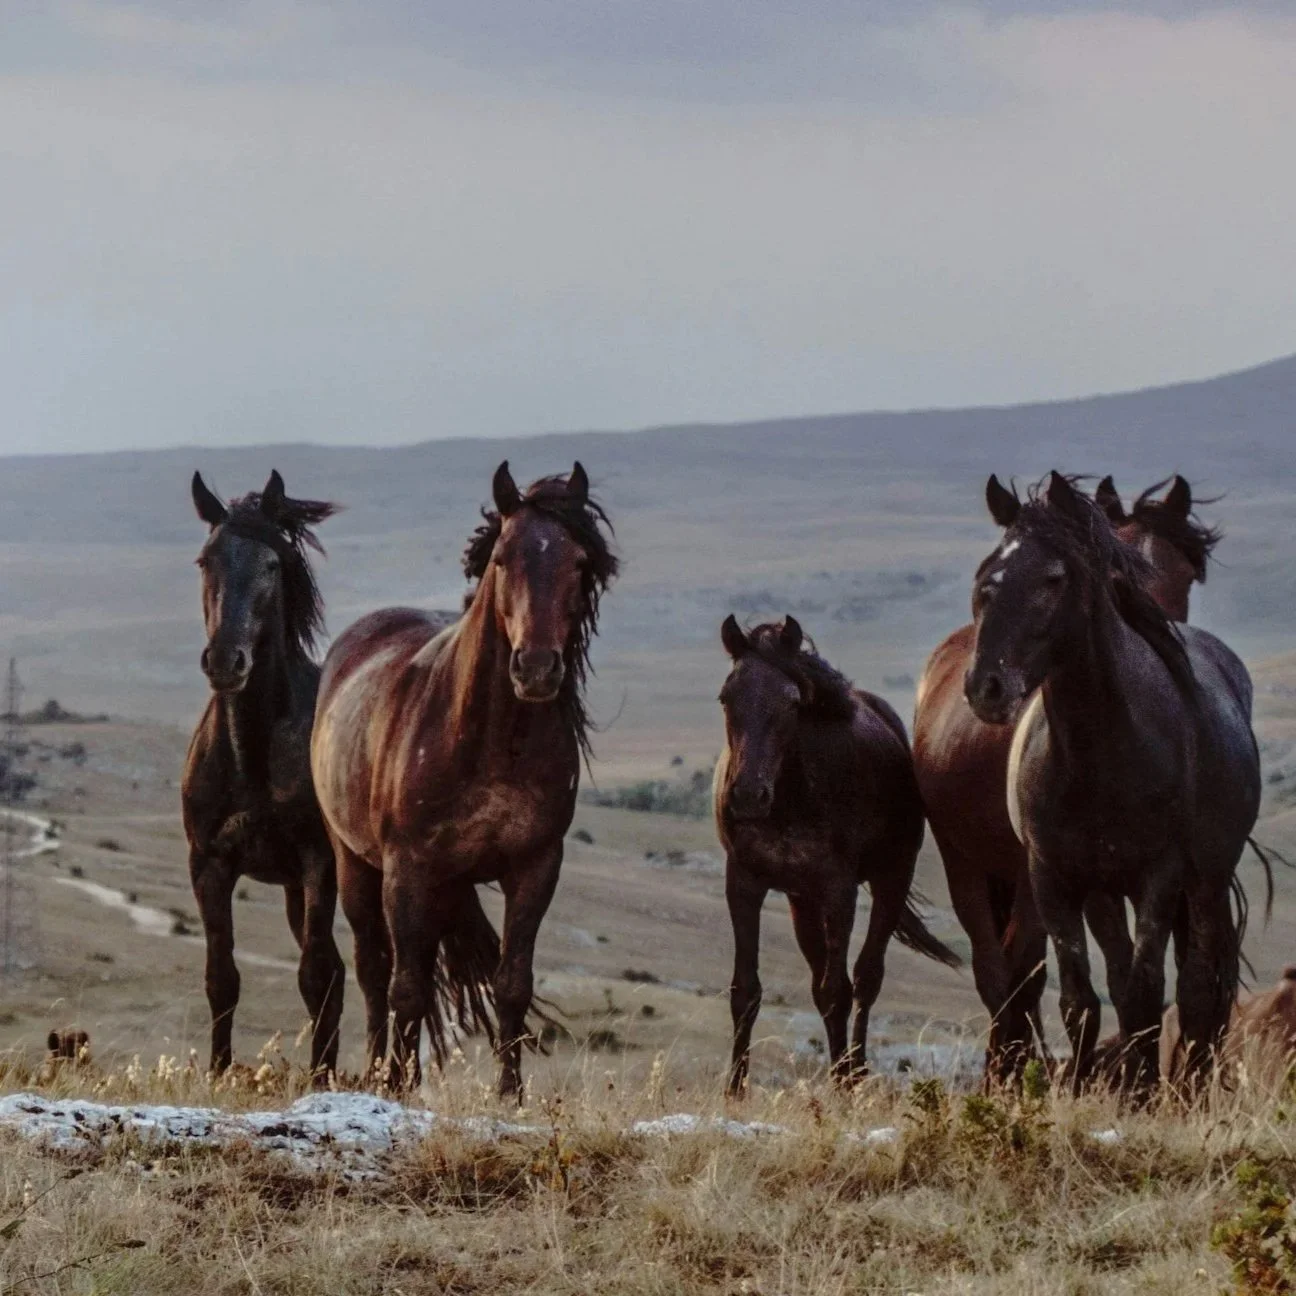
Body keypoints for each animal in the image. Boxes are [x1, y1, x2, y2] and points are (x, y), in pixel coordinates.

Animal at [182, 470, 346, 1078]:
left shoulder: (320, 863)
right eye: (205, 560)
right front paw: (218, 1072)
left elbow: (314, 975)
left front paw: (323, 1083)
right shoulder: (209, 864)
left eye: (273, 565)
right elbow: (221, 977)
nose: (226, 661)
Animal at [311, 462, 616, 1098]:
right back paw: (378, 1070)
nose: (537, 668)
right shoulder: (408, 868)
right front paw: (397, 1086)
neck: (490, 741)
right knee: (376, 968)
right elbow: (404, 986)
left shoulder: (535, 866)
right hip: (355, 863)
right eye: (502, 556)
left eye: (580, 561)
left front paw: (510, 1093)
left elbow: (512, 982)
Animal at [714, 615, 961, 1094]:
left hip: (889, 880)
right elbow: (746, 990)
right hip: (801, 901)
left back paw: (857, 1072)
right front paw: (734, 1088)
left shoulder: (839, 891)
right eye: (726, 696)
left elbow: (837, 990)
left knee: (865, 979)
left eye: (792, 702)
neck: (790, 796)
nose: (749, 795)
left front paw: (844, 1084)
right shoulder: (744, 884)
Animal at [912, 475, 1219, 1081]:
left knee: (1010, 974)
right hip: (971, 863)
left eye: (1186, 573)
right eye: (985, 577)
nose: (987, 686)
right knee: (1005, 972)